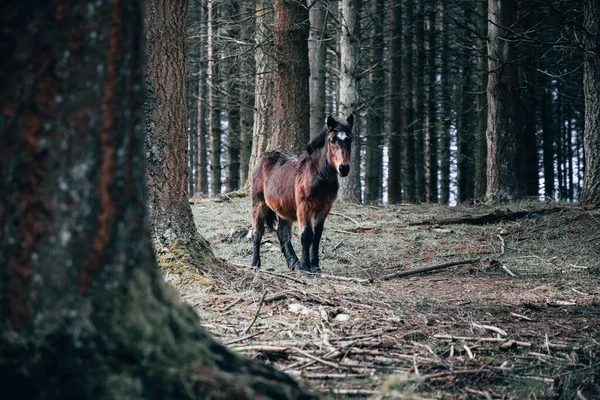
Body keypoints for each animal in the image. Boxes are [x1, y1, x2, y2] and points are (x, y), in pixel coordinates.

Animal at [248, 114, 352, 274]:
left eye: (350, 139)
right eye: (332, 140)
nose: (344, 168)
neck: (318, 175)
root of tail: (263, 158)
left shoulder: (324, 208)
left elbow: (317, 235)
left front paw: (315, 266)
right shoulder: (304, 207)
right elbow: (306, 235)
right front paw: (305, 267)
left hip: (283, 208)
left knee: (282, 233)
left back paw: (293, 263)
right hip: (258, 203)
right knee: (257, 232)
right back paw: (255, 264)